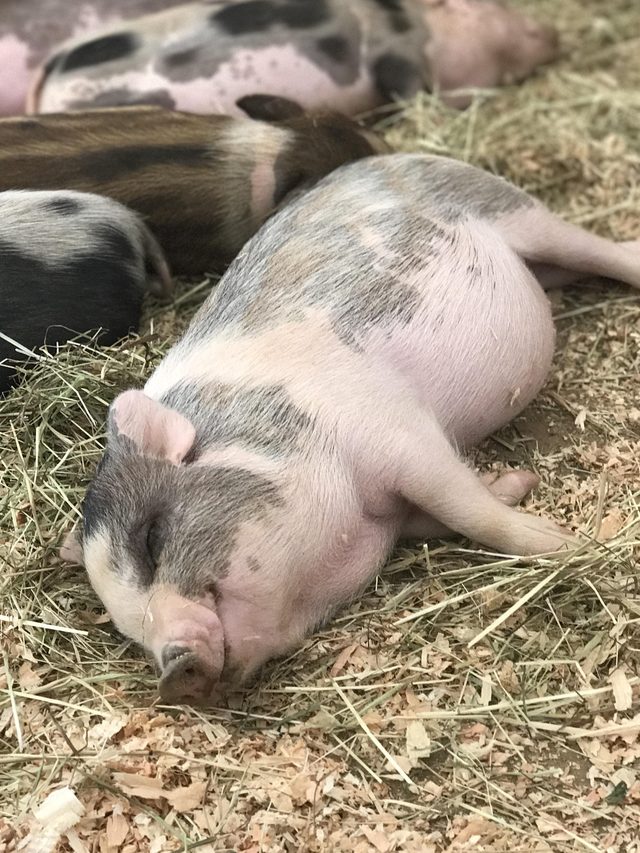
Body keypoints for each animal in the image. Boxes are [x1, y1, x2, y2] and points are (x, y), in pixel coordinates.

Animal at [61, 153, 640, 705]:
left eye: (151, 541)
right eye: (127, 629)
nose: (172, 676)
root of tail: (380, 159)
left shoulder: (400, 431)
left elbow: (471, 511)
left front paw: (568, 543)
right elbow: (450, 515)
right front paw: (520, 486)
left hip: (513, 209)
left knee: (597, 248)